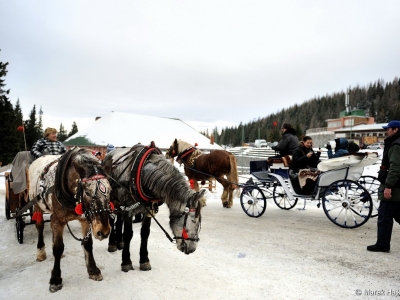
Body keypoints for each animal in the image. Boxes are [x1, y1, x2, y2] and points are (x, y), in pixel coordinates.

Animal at [28, 148, 112, 292]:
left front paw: (93, 270)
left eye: (110, 191)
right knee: (39, 226)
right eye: (87, 192)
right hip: (36, 204)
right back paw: (40, 251)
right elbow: (58, 248)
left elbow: (87, 244)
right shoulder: (57, 220)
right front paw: (55, 279)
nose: (104, 231)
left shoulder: (86, 220)